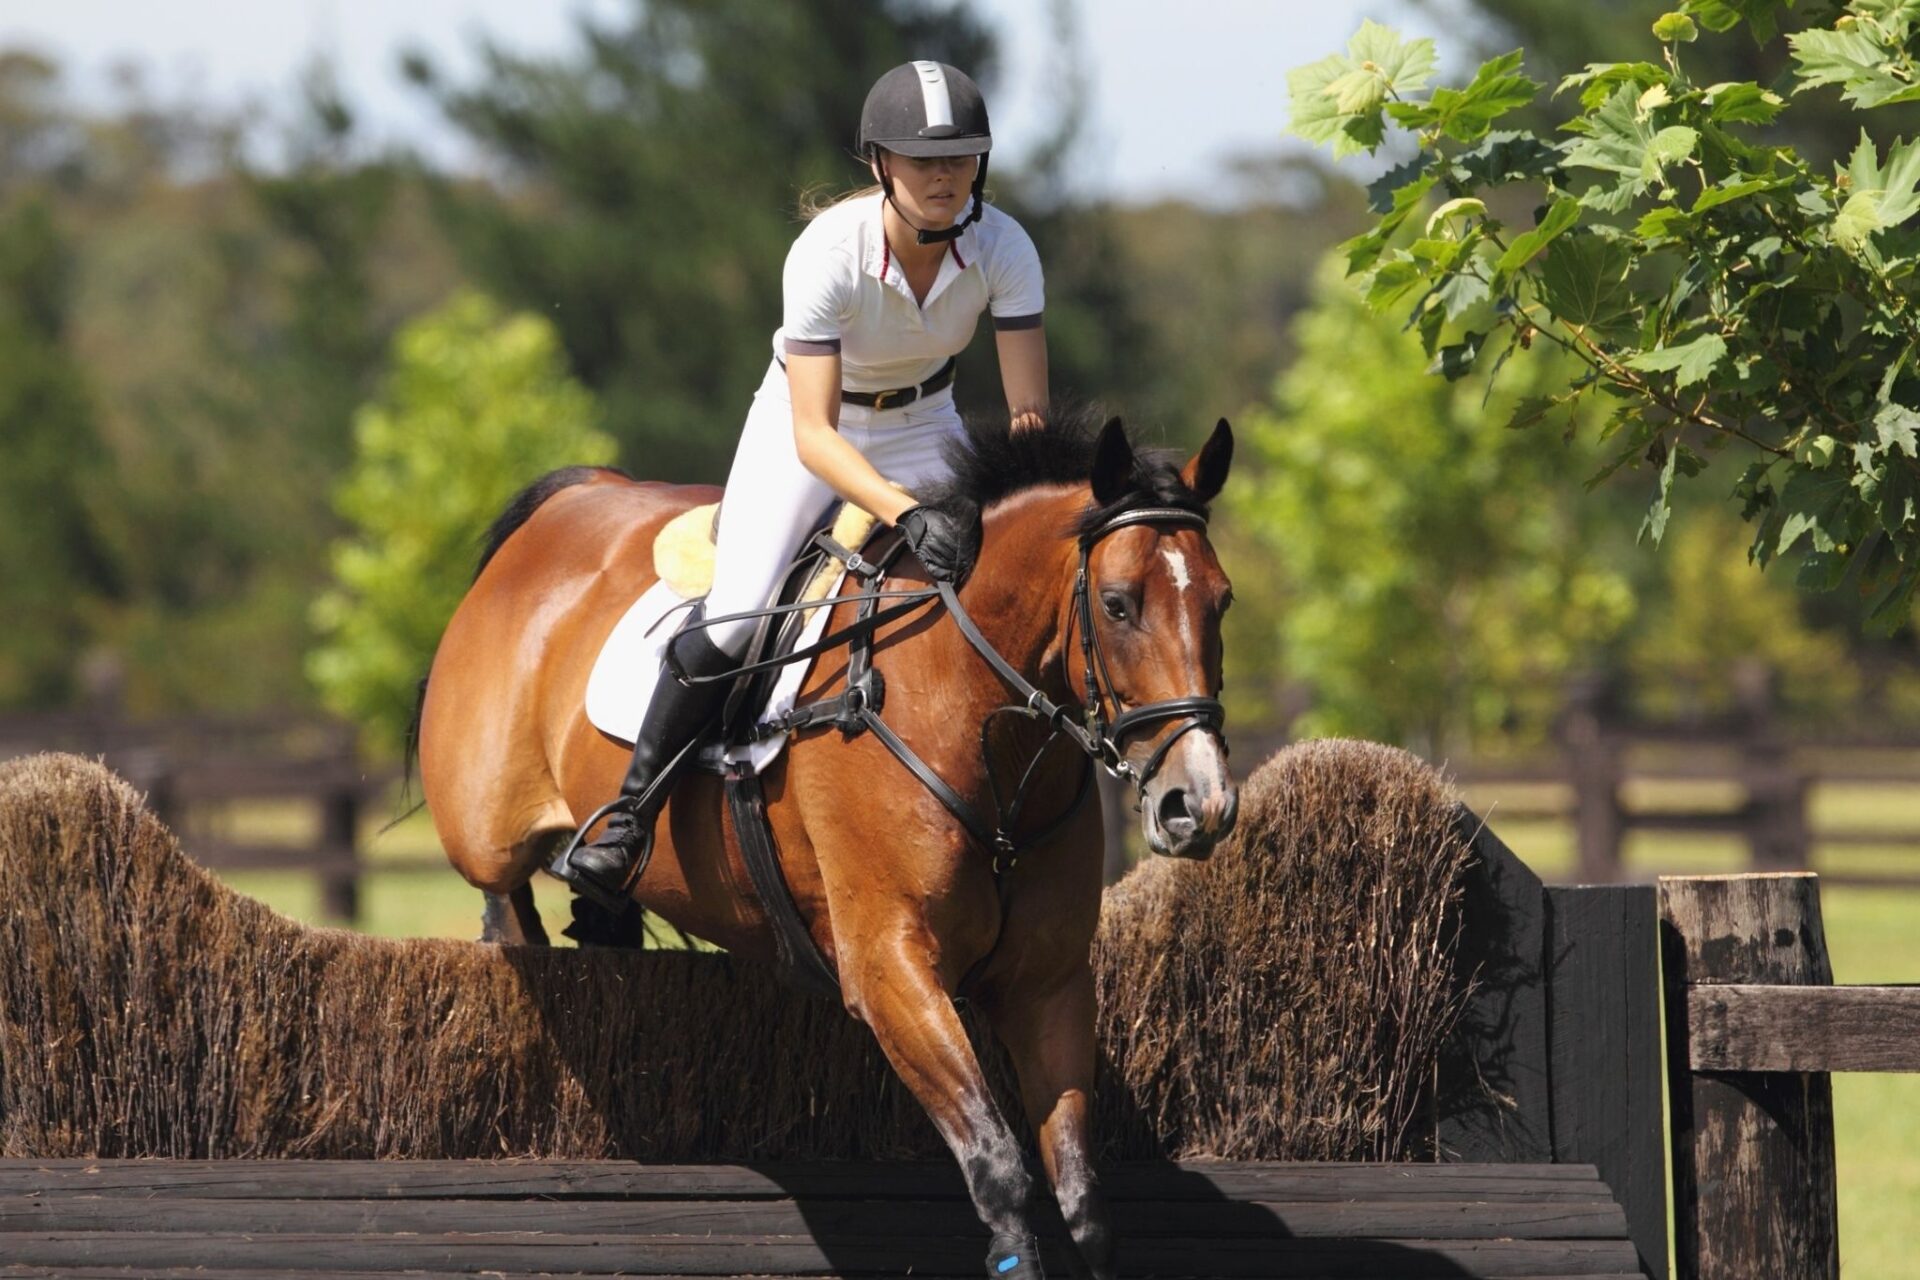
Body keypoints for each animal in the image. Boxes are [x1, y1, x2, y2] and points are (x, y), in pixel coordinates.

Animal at [416, 409, 1238, 1279]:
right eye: (1117, 605)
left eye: (1222, 602)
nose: (1201, 804)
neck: (977, 719)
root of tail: (576, 500)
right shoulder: (890, 972)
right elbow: (999, 1167)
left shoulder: (1046, 985)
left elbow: (1082, 1193)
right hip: (483, 828)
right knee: (502, 888)